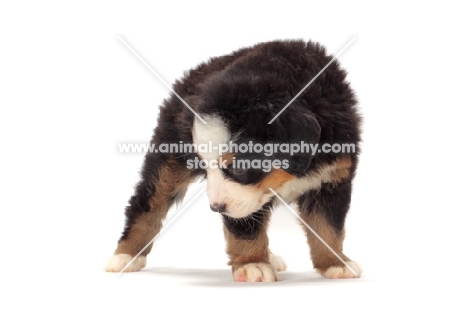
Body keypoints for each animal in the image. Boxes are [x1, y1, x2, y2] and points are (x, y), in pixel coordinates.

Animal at [105, 39, 362, 282]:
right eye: (205, 165)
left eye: (239, 168)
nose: (216, 208)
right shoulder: (239, 201)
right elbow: (245, 230)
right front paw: (252, 264)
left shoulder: (331, 181)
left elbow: (327, 228)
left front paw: (335, 263)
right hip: (168, 159)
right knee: (146, 205)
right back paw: (125, 256)